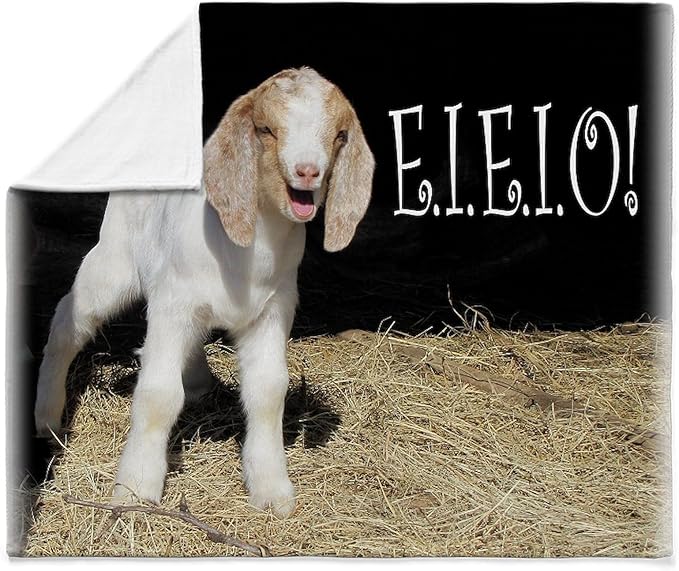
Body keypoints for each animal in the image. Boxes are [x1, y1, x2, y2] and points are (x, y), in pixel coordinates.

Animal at [34, 67, 375, 517]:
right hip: (115, 258)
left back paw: (196, 380)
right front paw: (136, 490)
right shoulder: (171, 304)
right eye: (266, 129)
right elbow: (158, 394)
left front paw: (272, 491)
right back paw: (46, 417)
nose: (307, 172)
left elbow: (269, 391)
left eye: (338, 135)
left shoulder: (273, 310)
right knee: (68, 318)